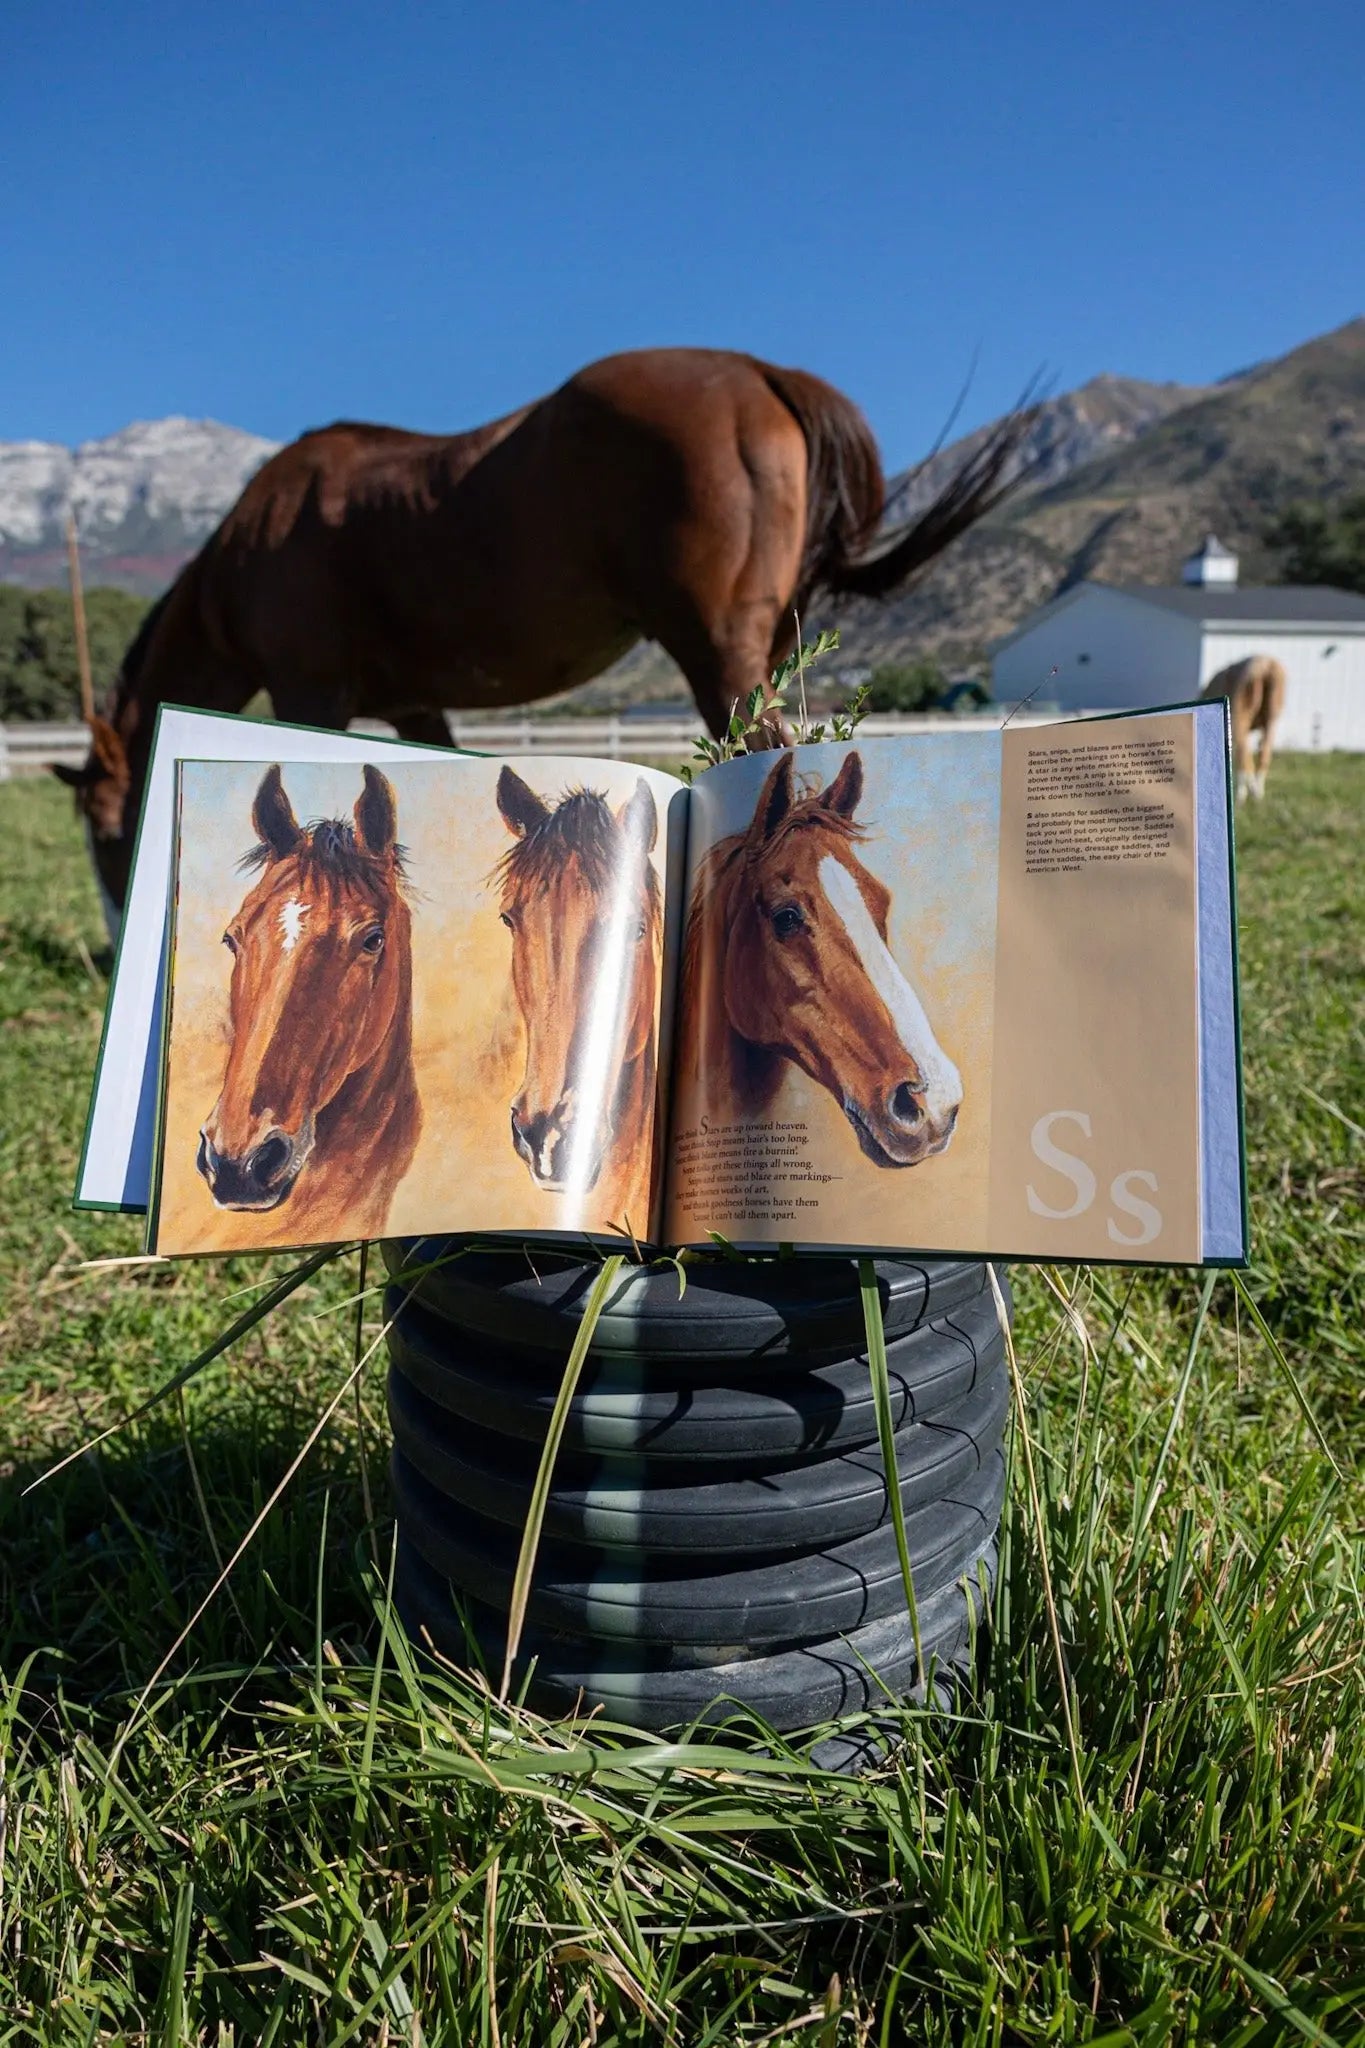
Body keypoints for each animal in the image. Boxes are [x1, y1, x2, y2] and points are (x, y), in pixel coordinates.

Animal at [53, 346, 1035, 920]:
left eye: (105, 823)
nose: (115, 932)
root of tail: (756, 371)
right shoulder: (415, 706)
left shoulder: (309, 691)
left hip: (719, 653)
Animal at [1201, 654, 1287, 801]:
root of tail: (1264, 666)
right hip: (1270, 716)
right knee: (1263, 753)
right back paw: (1257, 793)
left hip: (1240, 713)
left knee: (1244, 755)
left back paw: (1243, 794)